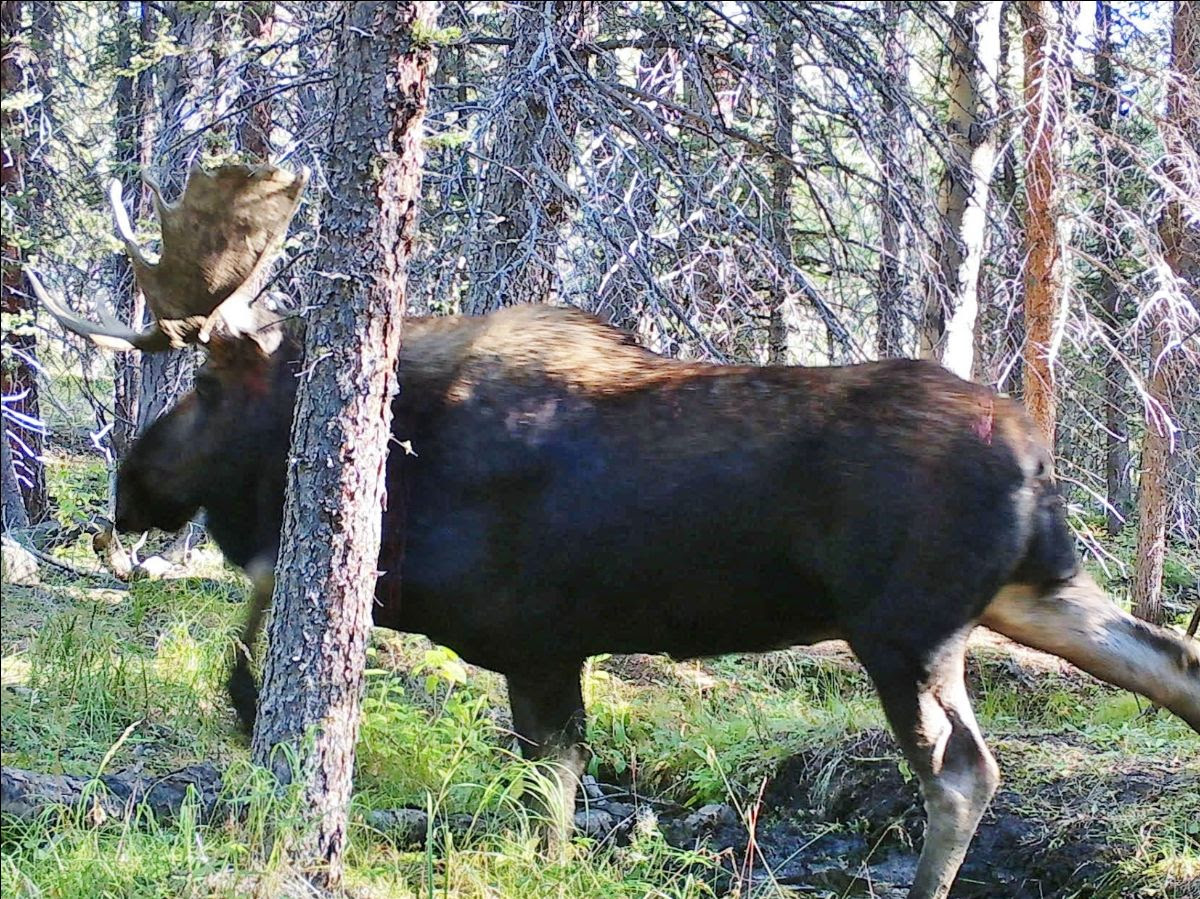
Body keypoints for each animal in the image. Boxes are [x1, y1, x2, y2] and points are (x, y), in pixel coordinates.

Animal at [29, 163, 1200, 899]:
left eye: (201, 385)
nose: (128, 490)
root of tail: (1038, 452)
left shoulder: (529, 633)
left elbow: (544, 785)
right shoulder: (525, 636)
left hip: (903, 626)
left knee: (963, 771)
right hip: (1030, 590)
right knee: (1170, 661)